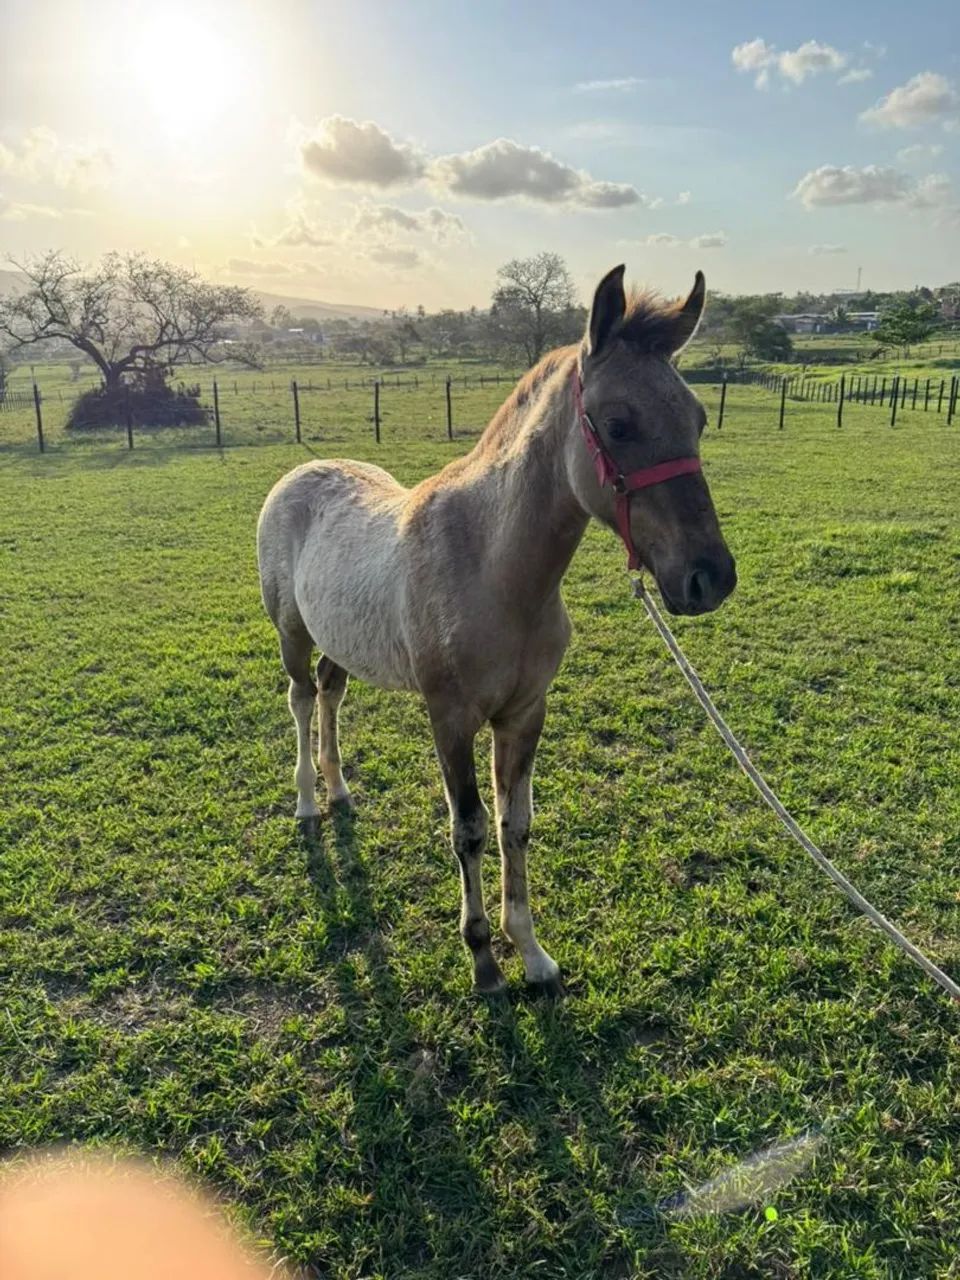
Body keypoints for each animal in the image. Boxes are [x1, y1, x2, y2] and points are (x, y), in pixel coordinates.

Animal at [257, 265, 736, 995]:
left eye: (699, 419)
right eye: (618, 424)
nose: (710, 577)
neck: (492, 568)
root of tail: (300, 474)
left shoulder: (524, 713)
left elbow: (517, 825)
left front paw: (531, 953)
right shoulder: (449, 718)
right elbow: (470, 829)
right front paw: (482, 959)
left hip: (341, 639)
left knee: (332, 694)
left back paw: (338, 790)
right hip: (291, 633)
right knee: (302, 698)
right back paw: (309, 802)